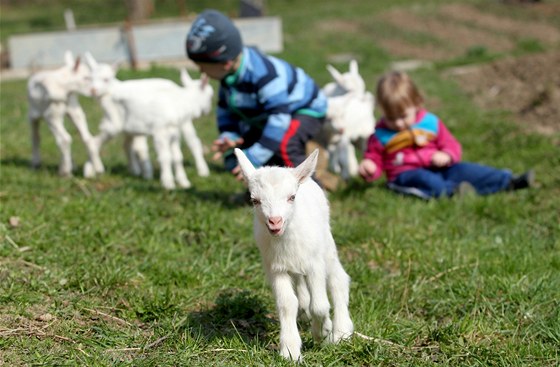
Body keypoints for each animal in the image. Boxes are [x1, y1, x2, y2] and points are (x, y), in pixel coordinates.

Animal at [234, 148, 352, 360]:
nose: (275, 221)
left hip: (327, 246)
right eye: (254, 200)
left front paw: (323, 332)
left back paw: (341, 331)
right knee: (301, 286)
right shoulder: (276, 268)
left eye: (292, 197)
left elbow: (320, 305)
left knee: (338, 279)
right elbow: (287, 303)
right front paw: (289, 350)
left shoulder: (315, 263)